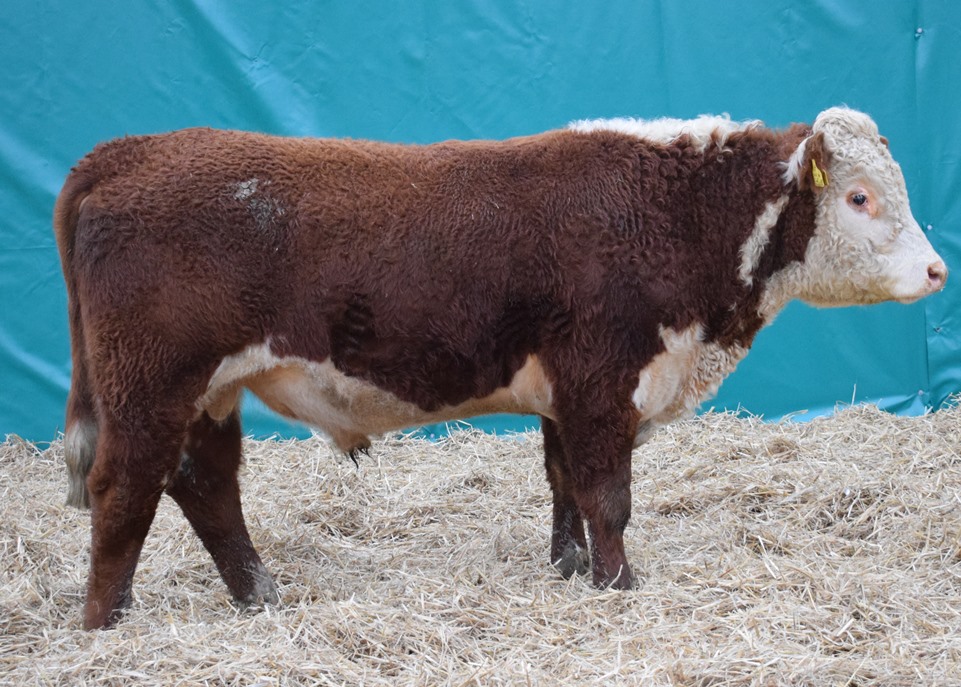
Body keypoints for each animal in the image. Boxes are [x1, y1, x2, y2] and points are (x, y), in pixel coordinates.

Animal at [54, 107, 946, 629]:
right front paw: (617, 584)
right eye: (860, 197)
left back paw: (258, 594)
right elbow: (607, 494)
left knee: (204, 485)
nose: (938, 270)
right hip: (150, 381)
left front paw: (569, 564)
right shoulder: (602, 379)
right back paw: (106, 623)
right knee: (123, 490)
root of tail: (127, 150)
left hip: (210, 391)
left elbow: (562, 483)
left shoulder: (563, 392)